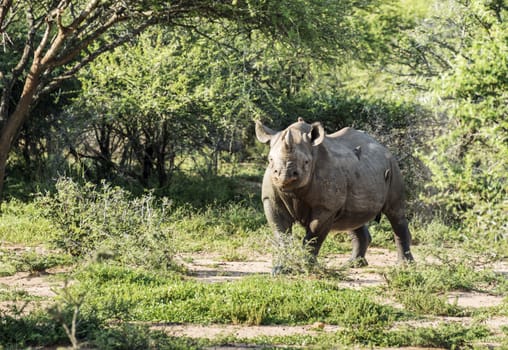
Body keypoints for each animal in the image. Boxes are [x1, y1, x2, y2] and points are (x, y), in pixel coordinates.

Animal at [256, 117, 414, 274]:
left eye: (306, 162)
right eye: (270, 160)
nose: (285, 176)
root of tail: (383, 147)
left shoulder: (326, 207)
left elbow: (313, 237)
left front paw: (308, 268)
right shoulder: (271, 200)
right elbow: (282, 235)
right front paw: (280, 269)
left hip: (393, 167)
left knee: (395, 213)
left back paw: (405, 266)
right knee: (352, 218)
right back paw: (354, 264)